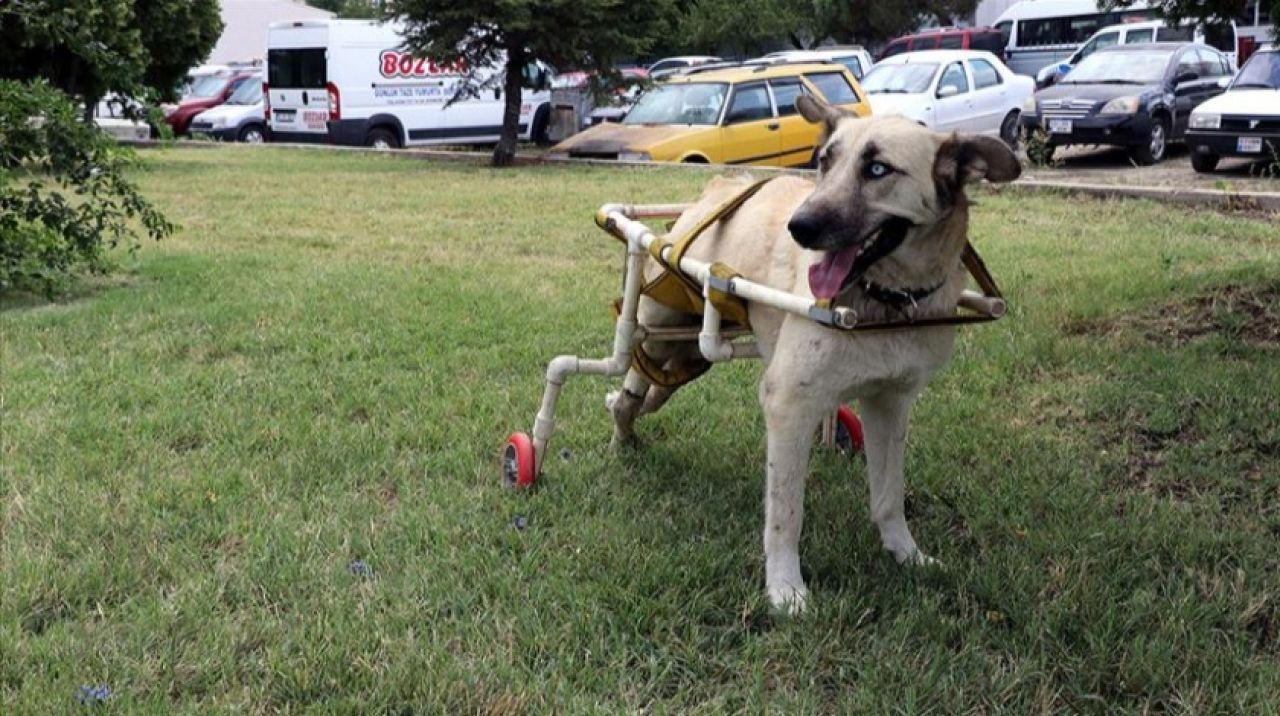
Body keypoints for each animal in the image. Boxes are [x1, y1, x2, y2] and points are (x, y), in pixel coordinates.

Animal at [609, 94, 1018, 609]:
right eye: (824, 162)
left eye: (878, 169)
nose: (798, 227)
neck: (884, 303)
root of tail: (715, 189)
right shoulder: (788, 405)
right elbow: (786, 515)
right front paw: (785, 590)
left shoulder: (889, 405)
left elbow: (889, 497)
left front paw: (905, 554)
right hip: (660, 329)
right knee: (628, 385)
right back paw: (617, 430)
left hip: (689, 355)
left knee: (651, 389)